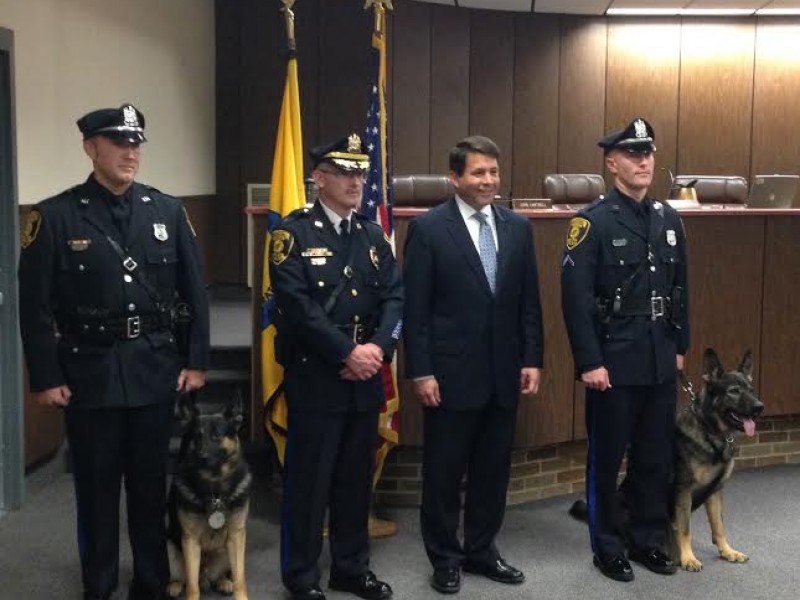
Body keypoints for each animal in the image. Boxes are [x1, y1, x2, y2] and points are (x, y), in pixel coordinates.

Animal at [168, 394, 253, 600]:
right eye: (196, 437)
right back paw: (174, 585)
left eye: (216, 435)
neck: (214, 489)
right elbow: (192, 586)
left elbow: (240, 578)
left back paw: (224, 582)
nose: (202, 456)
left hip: (226, 549)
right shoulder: (190, 541)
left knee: (225, 574)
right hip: (170, 547)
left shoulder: (237, 536)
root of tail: (205, 576)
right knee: (183, 577)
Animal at [568, 350, 764, 576]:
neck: (709, 429)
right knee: (631, 539)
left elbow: (719, 526)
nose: (760, 407)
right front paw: (688, 558)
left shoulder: (715, 492)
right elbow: (685, 529)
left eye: (751, 390)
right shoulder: (683, 491)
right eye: (734, 391)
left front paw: (727, 551)